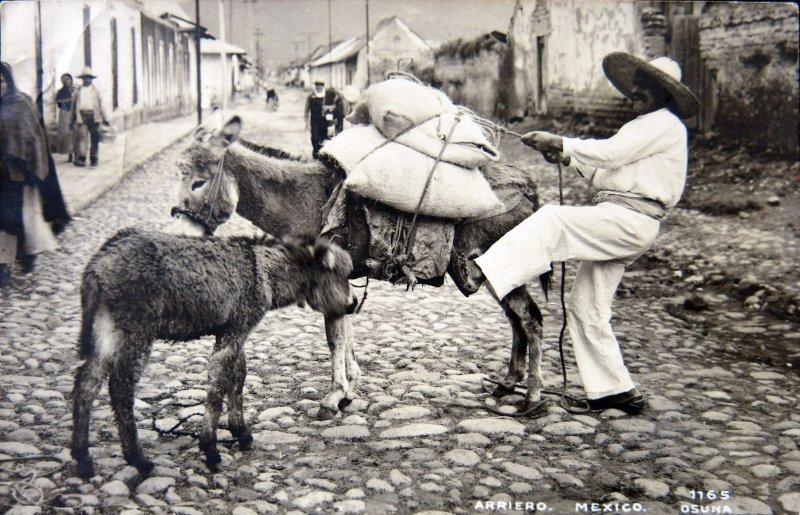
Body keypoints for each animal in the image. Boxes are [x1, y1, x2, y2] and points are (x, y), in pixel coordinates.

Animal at [72, 228, 360, 478]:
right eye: (336, 273)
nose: (354, 305)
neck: (263, 270)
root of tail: (100, 260)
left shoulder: (235, 331)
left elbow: (237, 378)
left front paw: (240, 433)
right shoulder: (235, 330)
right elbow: (218, 386)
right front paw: (210, 448)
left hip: (107, 330)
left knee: (87, 384)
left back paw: (83, 459)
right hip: (136, 331)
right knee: (121, 388)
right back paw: (138, 460)